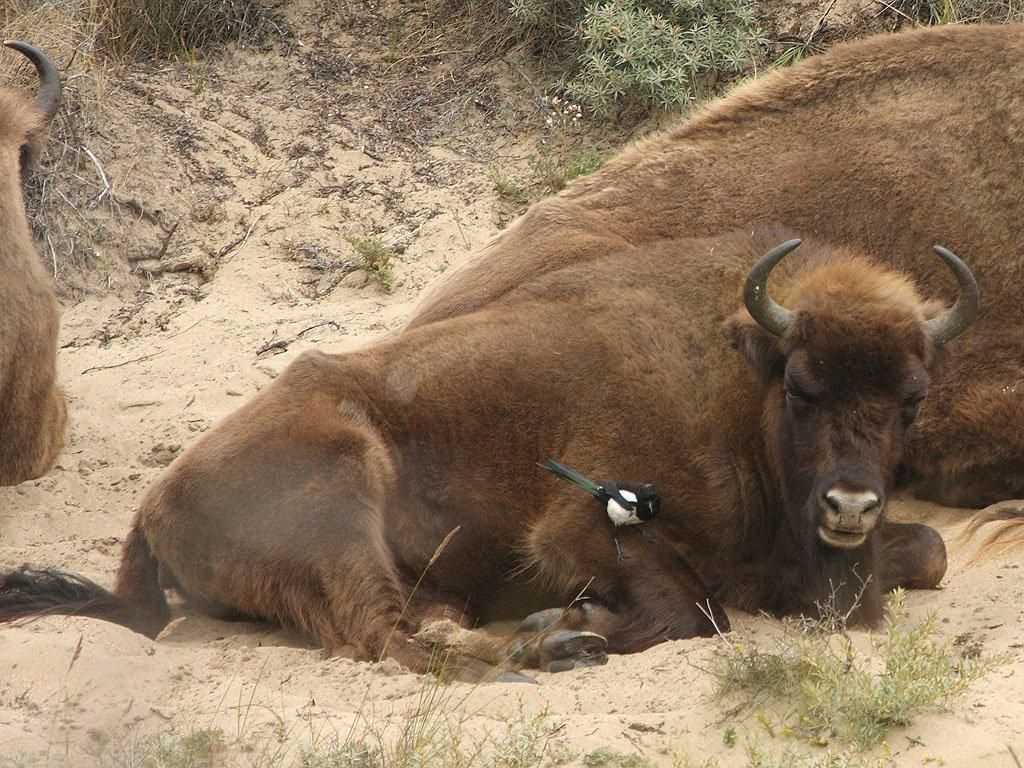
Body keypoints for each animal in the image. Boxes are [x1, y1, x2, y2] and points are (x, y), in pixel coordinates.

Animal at [0, 231, 974, 675]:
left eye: (911, 399)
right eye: (803, 389)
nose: (850, 507)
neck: (738, 377)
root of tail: (151, 502)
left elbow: (930, 550)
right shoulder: (580, 526)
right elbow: (698, 608)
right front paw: (573, 621)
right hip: (341, 493)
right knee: (394, 639)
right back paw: (544, 648)